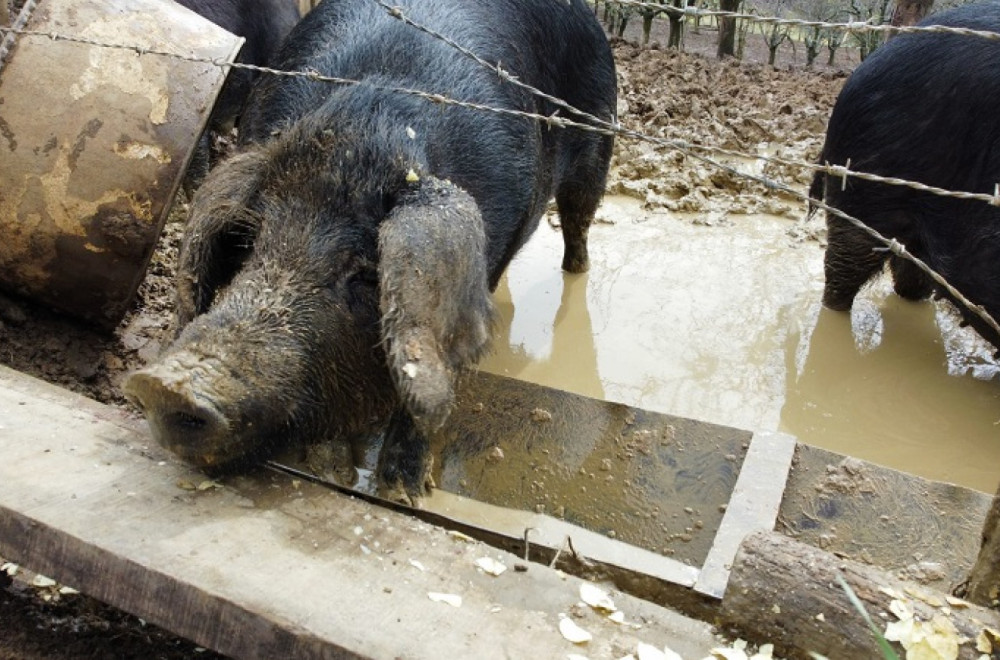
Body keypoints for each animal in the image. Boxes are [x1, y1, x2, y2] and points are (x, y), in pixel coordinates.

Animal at [121, 0, 612, 506]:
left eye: (368, 275)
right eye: (248, 243)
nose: (166, 386)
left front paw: (401, 495)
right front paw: (334, 469)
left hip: (599, 139)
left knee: (578, 225)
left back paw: (577, 269)